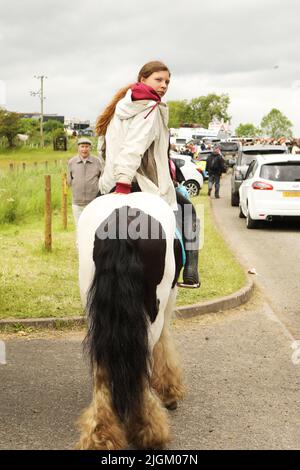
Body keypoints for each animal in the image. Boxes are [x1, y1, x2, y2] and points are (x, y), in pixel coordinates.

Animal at [76, 193, 184, 450]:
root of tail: (121, 220)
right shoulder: (169, 298)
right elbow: (164, 344)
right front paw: (169, 389)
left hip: (94, 313)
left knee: (102, 368)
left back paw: (101, 434)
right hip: (153, 310)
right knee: (143, 359)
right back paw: (149, 430)